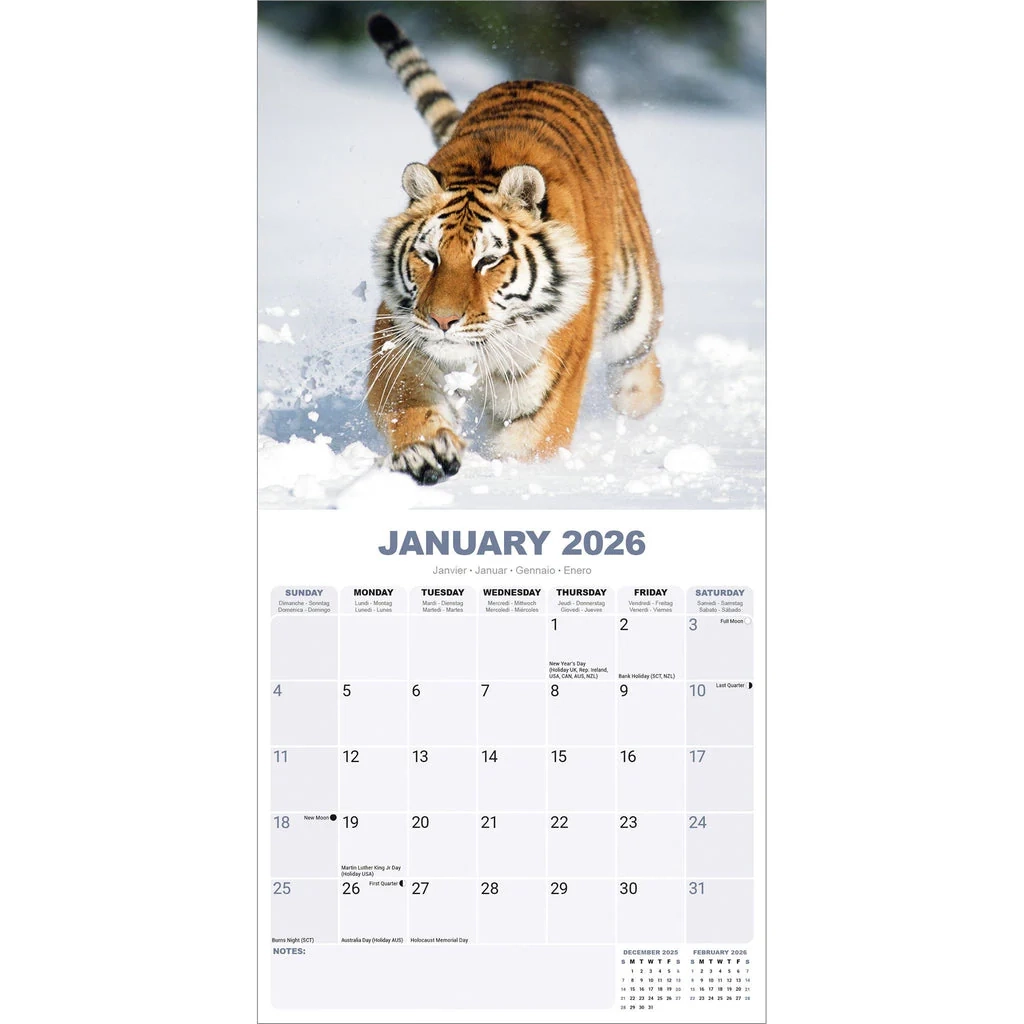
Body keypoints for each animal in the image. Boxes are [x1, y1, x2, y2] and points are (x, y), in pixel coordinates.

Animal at [367, 12, 664, 485]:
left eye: (488, 260)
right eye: (429, 256)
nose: (442, 321)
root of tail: (540, 79)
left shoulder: (541, 403)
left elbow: (524, 451)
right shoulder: (399, 347)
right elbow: (407, 407)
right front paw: (426, 450)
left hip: (635, 309)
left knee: (640, 369)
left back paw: (637, 412)